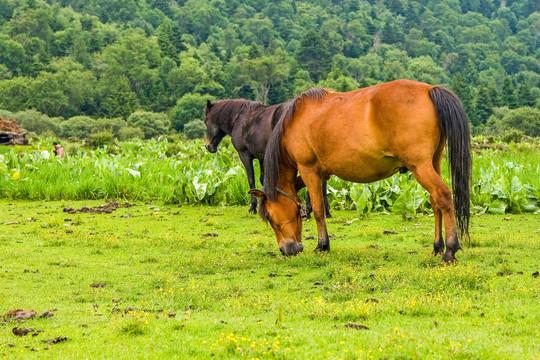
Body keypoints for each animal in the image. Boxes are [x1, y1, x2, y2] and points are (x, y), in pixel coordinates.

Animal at [202, 97, 330, 217]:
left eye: (206, 122)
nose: (208, 146)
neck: (239, 118)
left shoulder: (245, 155)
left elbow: (251, 179)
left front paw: (253, 207)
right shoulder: (262, 157)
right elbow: (263, 179)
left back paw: (311, 209)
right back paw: (324, 210)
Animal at [251, 79, 470, 262]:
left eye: (269, 216)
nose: (285, 250)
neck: (296, 120)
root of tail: (429, 90)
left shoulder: (308, 171)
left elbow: (319, 211)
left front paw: (322, 246)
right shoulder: (320, 175)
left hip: (420, 166)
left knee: (443, 196)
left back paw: (450, 250)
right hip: (433, 163)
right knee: (435, 202)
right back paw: (437, 247)